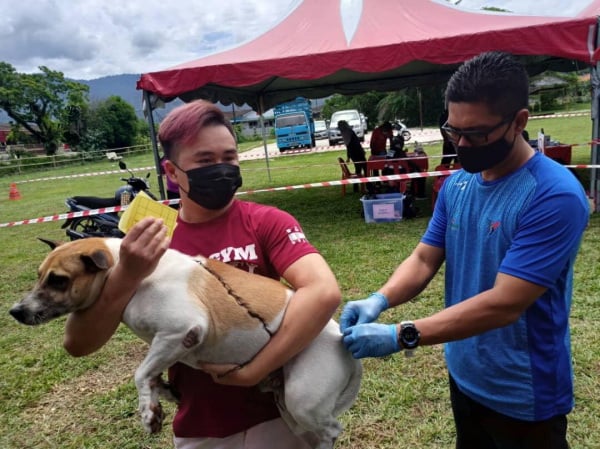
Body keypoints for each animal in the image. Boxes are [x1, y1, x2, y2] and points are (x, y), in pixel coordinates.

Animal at [10, 236, 360, 446]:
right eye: (39, 275)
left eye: (58, 280)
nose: (15, 311)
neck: (132, 276)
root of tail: (342, 339)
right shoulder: (169, 345)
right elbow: (150, 375)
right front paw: (160, 395)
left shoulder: (181, 330)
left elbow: (139, 373)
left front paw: (147, 411)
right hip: (288, 404)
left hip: (302, 398)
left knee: (332, 430)